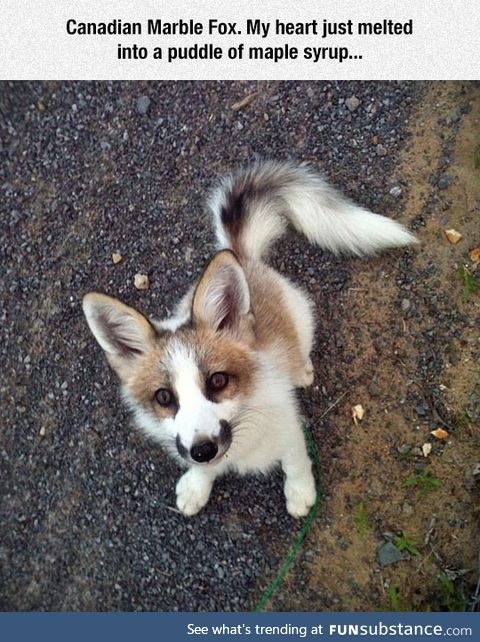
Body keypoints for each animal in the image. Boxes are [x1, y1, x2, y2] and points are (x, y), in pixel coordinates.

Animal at [82, 159, 416, 516]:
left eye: (218, 381)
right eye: (163, 397)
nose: (203, 450)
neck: (244, 420)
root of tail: (240, 256)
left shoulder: (289, 427)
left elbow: (296, 462)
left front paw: (300, 492)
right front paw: (197, 484)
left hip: (301, 315)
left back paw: (302, 369)